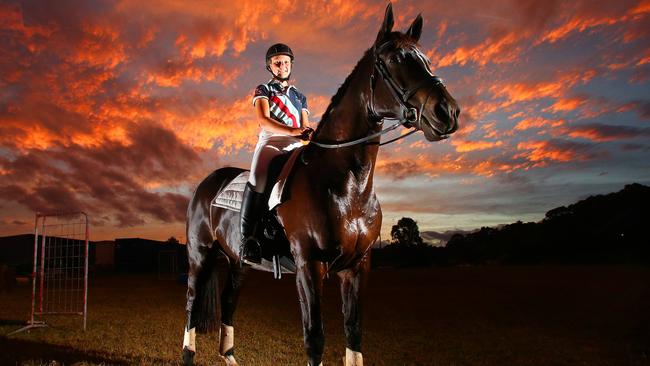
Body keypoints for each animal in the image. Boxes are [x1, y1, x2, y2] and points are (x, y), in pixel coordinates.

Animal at [180, 3, 458, 366]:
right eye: (396, 59)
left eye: (425, 58)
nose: (448, 111)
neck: (346, 187)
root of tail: (208, 183)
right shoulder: (309, 265)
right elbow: (315, 338)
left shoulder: (357, 266)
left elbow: (353, 332)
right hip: (200, 254)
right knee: (192, 302)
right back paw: (188, 354)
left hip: (237, 260)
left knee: (228, 301)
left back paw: (229, 357)